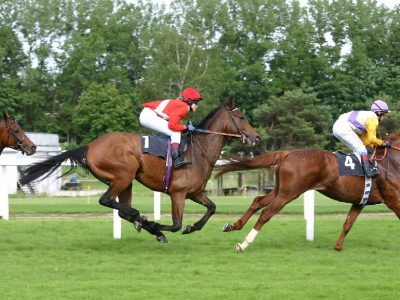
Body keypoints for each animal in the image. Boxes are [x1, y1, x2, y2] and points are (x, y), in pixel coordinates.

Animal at [19, 102, 260, 243]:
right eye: (241, 118)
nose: (256, 137)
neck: (198, 151)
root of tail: (90, 146)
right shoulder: (178, 193)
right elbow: (176, 224)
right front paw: (158, 226)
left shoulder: (195, 192)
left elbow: (212, 208)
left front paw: (192, 227)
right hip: (124, 175)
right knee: (107, 201)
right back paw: (145, 222)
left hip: (126, 181)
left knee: (120, 209)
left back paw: (142, 221)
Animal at [216, 135, 400, 252]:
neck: (391, 162)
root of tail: (288, 153)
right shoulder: (394, 200)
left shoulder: (360, 201)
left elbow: (348, 224)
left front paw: (338, 247)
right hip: (289, 193)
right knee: (266, 213)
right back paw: (244, 244)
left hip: (280, 190)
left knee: (258, 201)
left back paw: (233, 226)